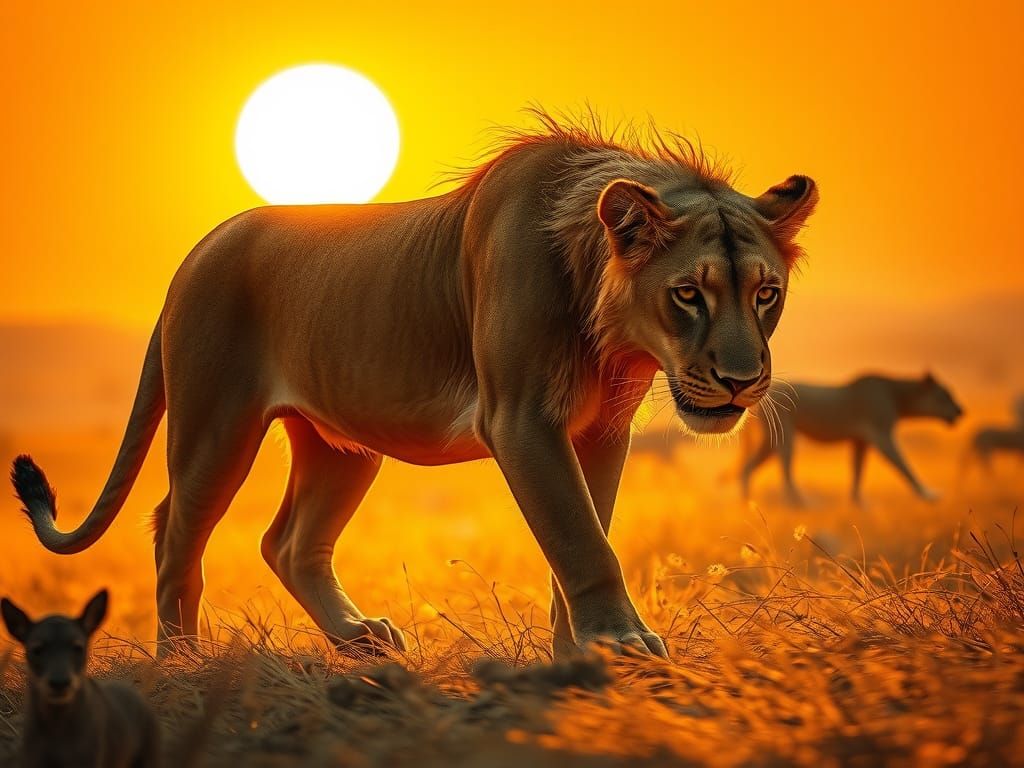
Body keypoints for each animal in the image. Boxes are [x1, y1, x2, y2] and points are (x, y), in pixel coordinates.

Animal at [11, 111, 817, 657]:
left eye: (765, 294)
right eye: (688, 294)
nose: (742, 382)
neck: (614, 333)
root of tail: (195, 253)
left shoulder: (599, 431)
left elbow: (583, 534)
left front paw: (576, 652)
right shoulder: (521, 419)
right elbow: (583, 541)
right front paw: (617, 644)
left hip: (342, 444)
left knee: (288, 542)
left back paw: (360, 638)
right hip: (216, 425)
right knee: (174, 531)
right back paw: (182, 662)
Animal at [741, 373, 963, 506]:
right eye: (945, 395)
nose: (961, 411)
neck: (897, 396)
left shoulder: (860, 440)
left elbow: (858, 471)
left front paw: (859, 504)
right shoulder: (882, 435)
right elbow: (904, 466)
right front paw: (929, 495)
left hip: (770, 441)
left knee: (747, 467)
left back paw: (748, 502)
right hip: (784, 433)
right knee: (785, 470)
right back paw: (802, 504)